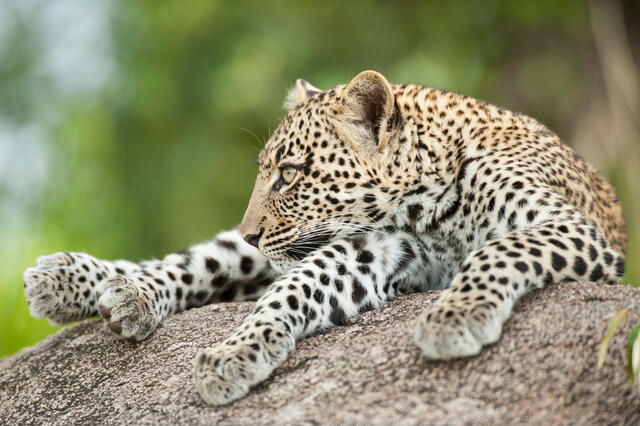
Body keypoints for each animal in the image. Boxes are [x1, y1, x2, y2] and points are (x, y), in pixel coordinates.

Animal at [24, 70, 627, 405]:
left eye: (289, 174)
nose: (251, 232)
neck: (428, 209)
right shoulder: (376, 245)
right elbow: (298, 286)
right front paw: (237, 350)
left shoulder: (571, 228)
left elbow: (500, 248)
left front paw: (455, 314)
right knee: (195, 262)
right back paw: (90, 284)